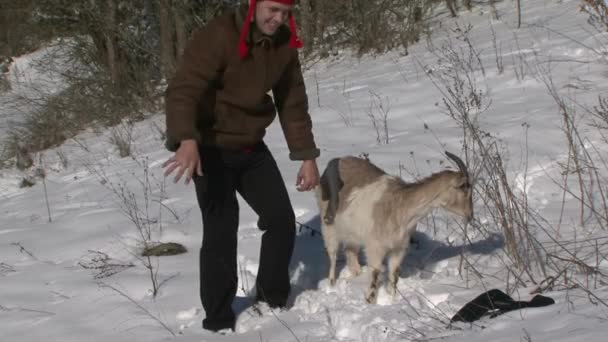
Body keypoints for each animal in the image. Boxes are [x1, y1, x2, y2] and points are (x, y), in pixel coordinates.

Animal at [316, 151, 472, 304]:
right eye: (463, 187)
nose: (470, 215)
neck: (399, 207)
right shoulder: (375, 247)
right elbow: (375, 272)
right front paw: (370, 301)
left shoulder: (399, 248)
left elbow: (394, 273)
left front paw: (392, 299)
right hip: (328, 225)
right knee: (333, 255)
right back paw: (331, 284)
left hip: (352, 233)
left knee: (350, 252)